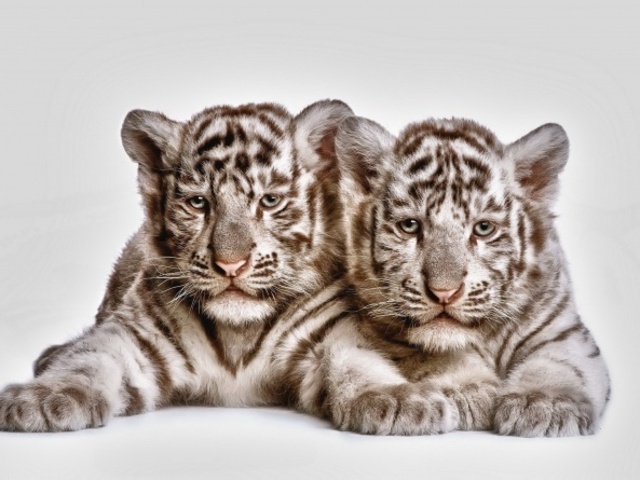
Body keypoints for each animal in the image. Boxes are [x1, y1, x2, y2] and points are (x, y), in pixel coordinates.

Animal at [0, 99, 355, 432]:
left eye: (269, 201)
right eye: (198, 203)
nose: (231, 265)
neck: (237, 333)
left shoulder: (325, 330)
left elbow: (350, 357)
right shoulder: (137, 335)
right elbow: (89, 358)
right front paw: (39, 400)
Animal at [309, 114, 611, 437]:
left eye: (483, 228)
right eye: (410, 226)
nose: (444, 292)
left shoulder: (565, 330)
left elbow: (561, 363)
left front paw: (546, 404)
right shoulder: (385, 333)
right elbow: (435, 355)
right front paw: (469, 391)